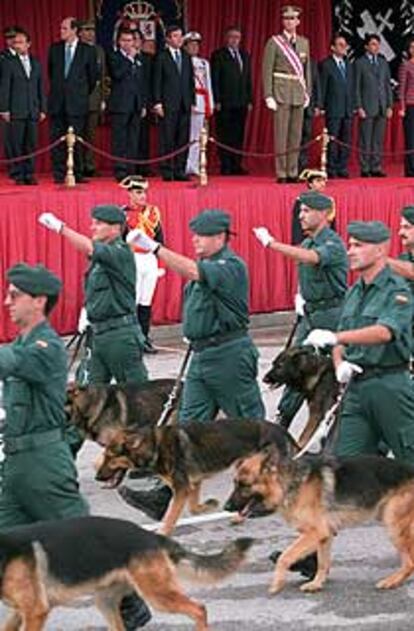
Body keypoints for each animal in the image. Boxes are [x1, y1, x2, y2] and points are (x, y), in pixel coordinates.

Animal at [0, 516, 252, 628]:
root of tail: (152, 536)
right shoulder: (21, 613)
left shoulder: (35, 611)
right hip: (105, 601)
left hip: (158, 595)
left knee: (199, 609)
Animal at [94, 422, 294, 536]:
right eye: (105, 455)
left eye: (110, 456)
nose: (97, 477)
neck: (155, 447)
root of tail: (280, 429)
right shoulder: (192, 483)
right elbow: (193, 507)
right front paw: (207, 506)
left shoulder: (181, 489)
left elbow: (170, 515)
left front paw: (163, 532)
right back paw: (239, 516)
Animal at [226, 450, 414, 596]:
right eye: (235, 483)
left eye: (244, 485)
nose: (226, 507)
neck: (288, 484)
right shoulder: (324, 535)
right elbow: (323, 562)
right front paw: (316, 583)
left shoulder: (315, 532)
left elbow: (286, 556)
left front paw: (277, 583)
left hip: (393, 525)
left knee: (409, 562)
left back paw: (391, 581)